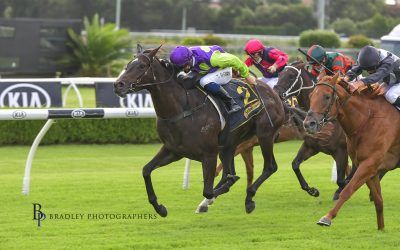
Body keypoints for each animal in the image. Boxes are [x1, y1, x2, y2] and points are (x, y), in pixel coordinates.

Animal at [114, 45, 286, 217]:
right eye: (128, 65)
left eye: (142, 66)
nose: (118, 85)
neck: (182, 109)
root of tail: (272, 92)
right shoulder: (173, 150)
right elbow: (146, 170)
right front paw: (160, 208)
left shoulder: (209, 154)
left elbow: (210, 190)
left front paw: (218, 192)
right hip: (229, 145)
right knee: (229, 170)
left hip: (265, 135)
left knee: (270, 167)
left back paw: (249, 199)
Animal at [304, 73, 400, 229]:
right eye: (311, 95)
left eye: (326, 96)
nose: (308, 124)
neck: (368, 120)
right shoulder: (369, 167)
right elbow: (378, 201)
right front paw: (381, 229)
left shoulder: (368, 164)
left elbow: (347, 190)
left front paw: (327, 217)